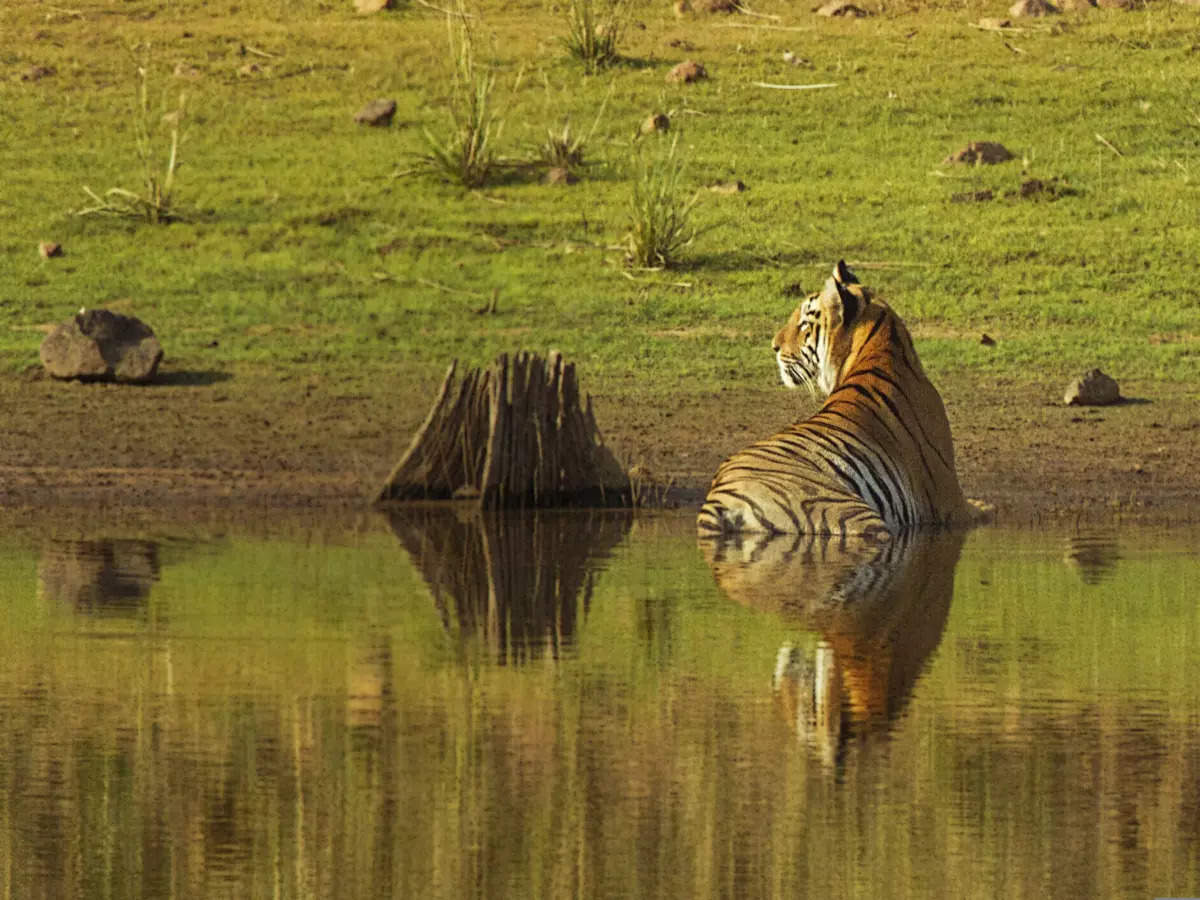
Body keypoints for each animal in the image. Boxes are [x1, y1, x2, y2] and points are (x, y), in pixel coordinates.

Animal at [700, 256, 969, 540]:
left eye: (803, 324)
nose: (774, 345)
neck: (881, 344)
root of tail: (719, 500)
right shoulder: (951, 500)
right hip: (844, 511)